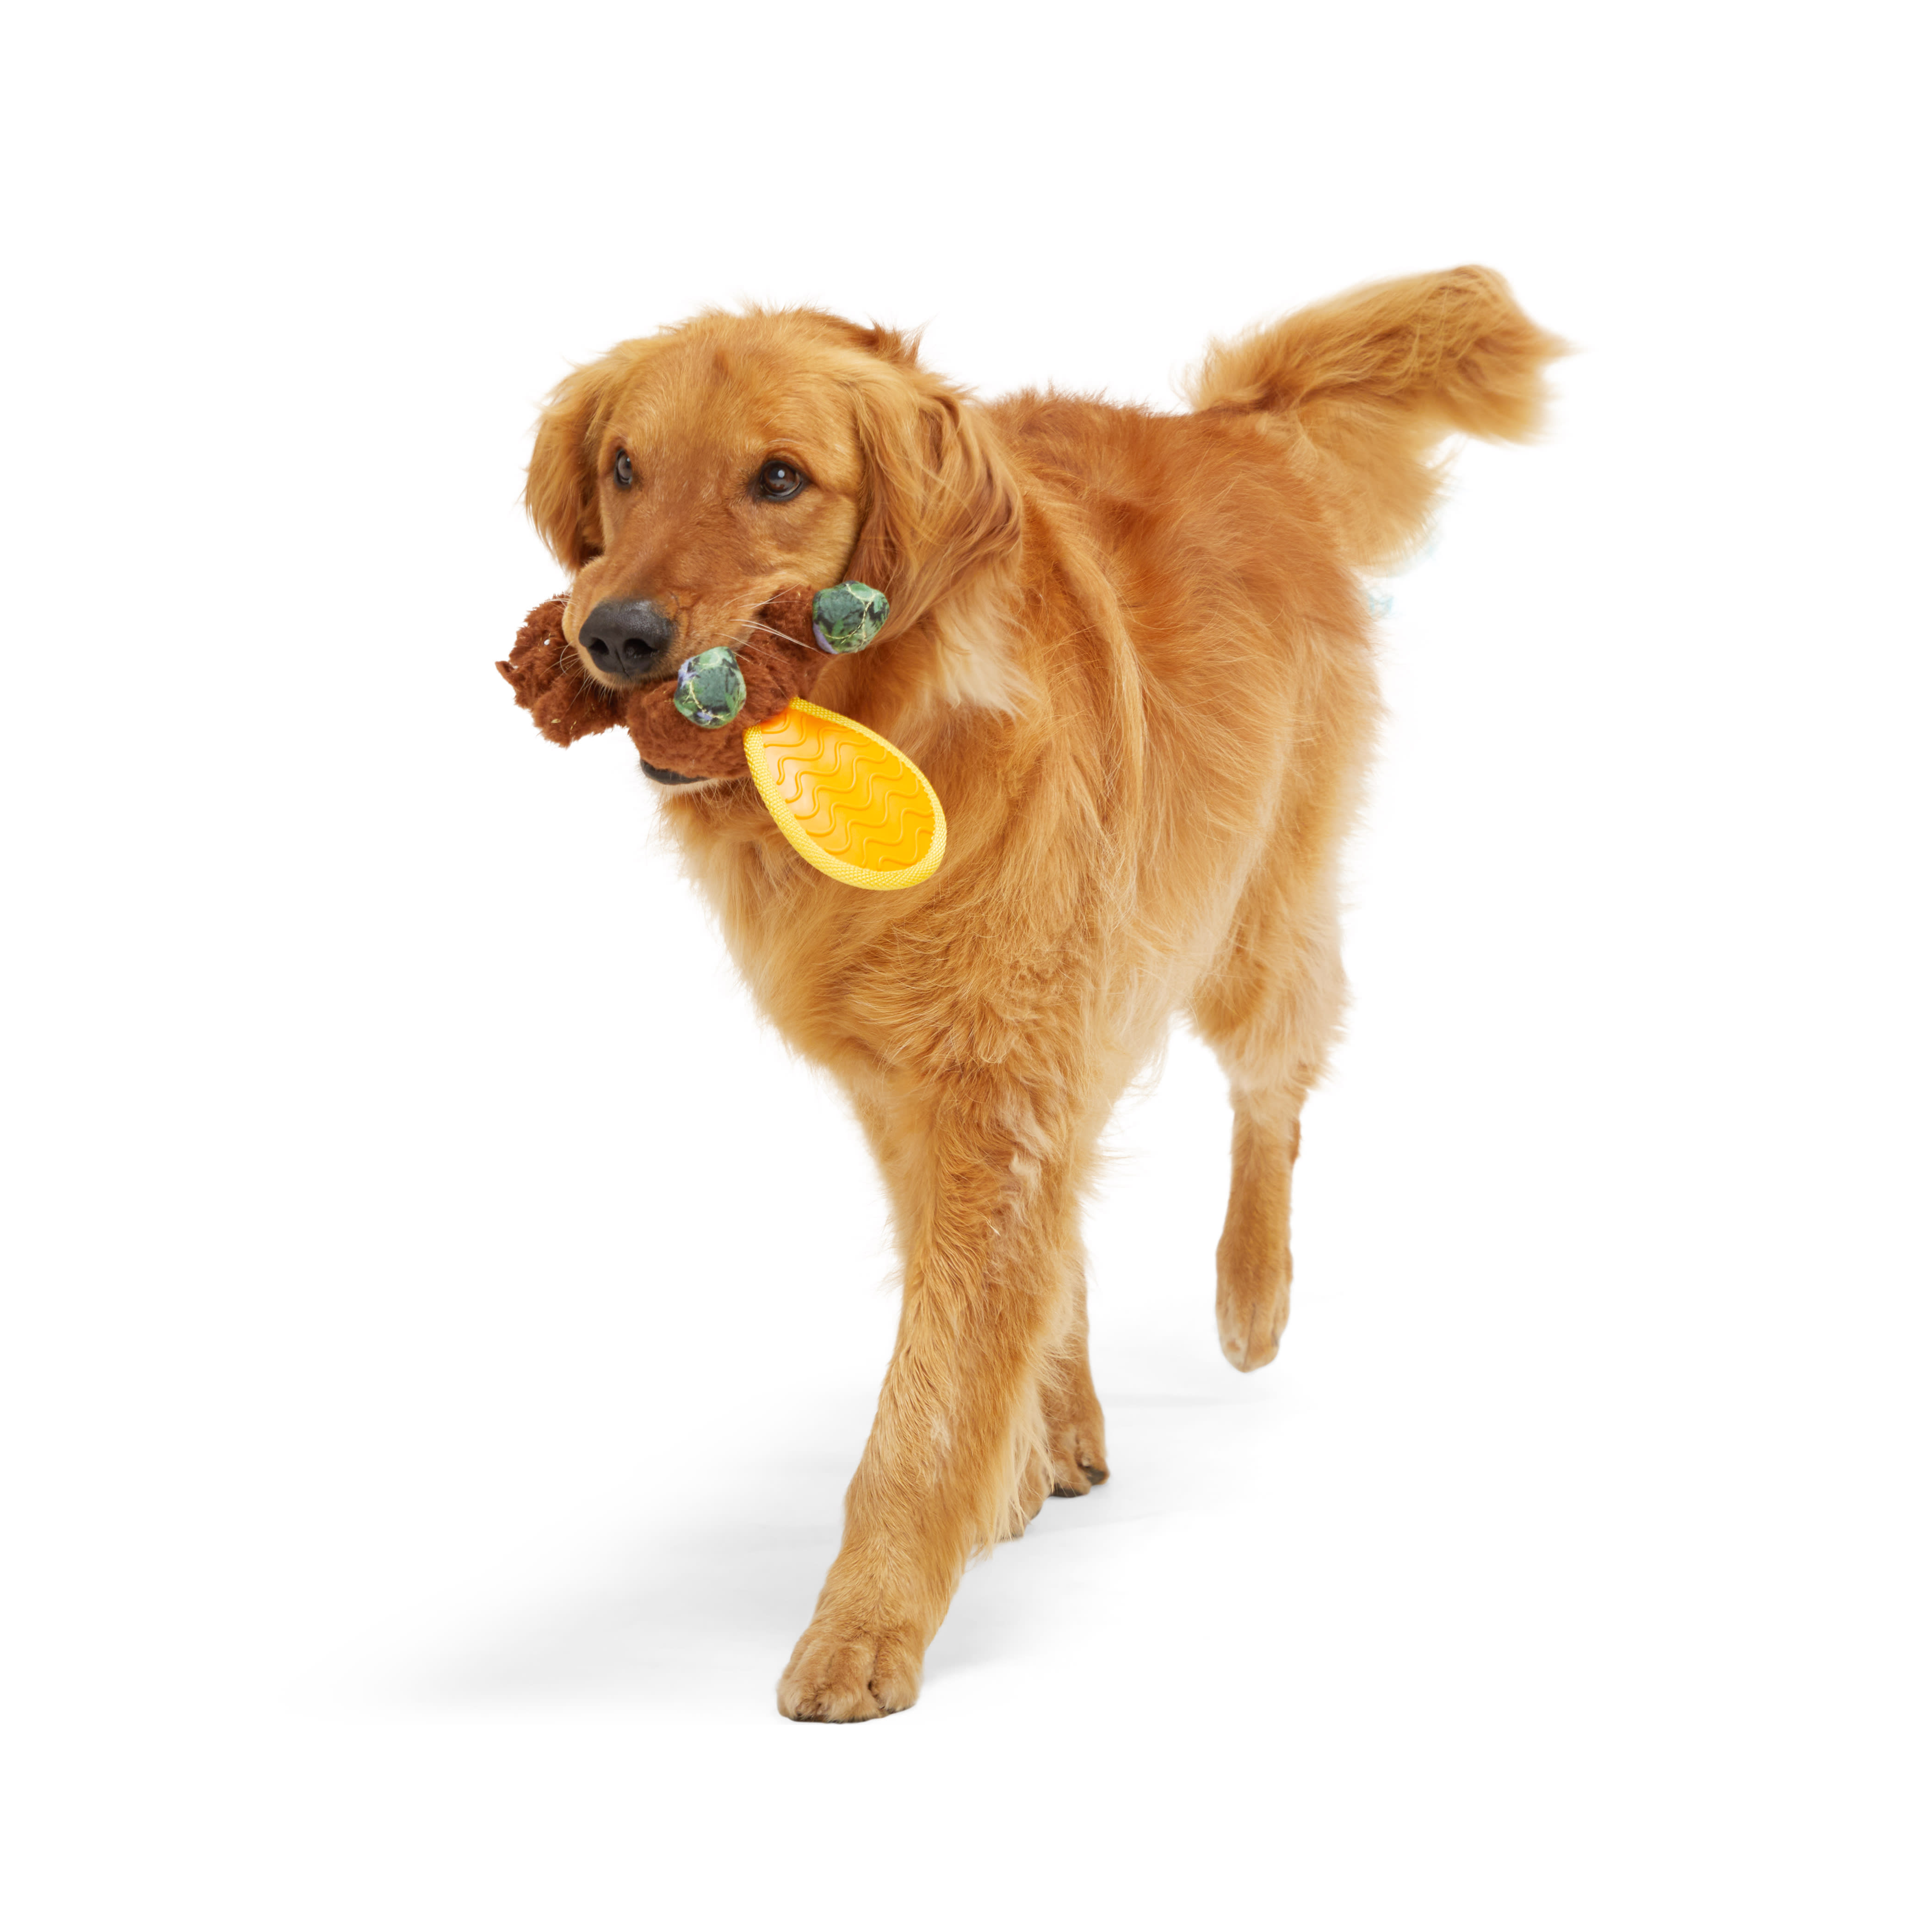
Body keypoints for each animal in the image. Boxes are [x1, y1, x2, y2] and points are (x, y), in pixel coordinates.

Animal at [521, 260, 1561, 1723]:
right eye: (623, 466)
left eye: (780, 478)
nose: (613, 632)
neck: (894, 716)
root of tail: (1237, 429)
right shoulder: (918, 1090)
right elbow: (992, 1304)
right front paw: (1014, 1457)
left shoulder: (992, 1083)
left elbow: (930, 1395)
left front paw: (866, 1626)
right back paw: (1065, 1428)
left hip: (1249, 924)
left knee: (1274, 1091)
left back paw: (1252, 1298)